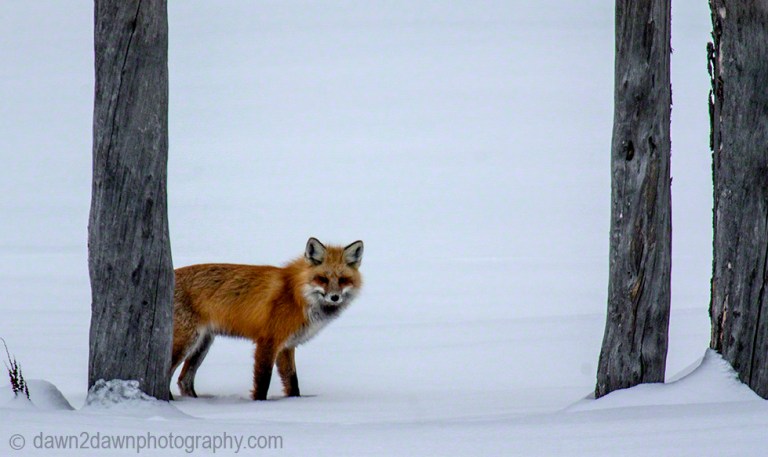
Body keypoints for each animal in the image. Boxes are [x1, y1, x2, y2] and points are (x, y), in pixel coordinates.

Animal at [170, 237, 363, 401]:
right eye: (322, 279)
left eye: (343, 280)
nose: (334, 297)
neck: (296, 295)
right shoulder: (268, 341)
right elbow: (263, 381)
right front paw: (260, 406)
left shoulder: (287, 345)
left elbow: (292, 382)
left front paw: (295, 403)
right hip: (186, 342)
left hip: (203, 344)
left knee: (183, 380)